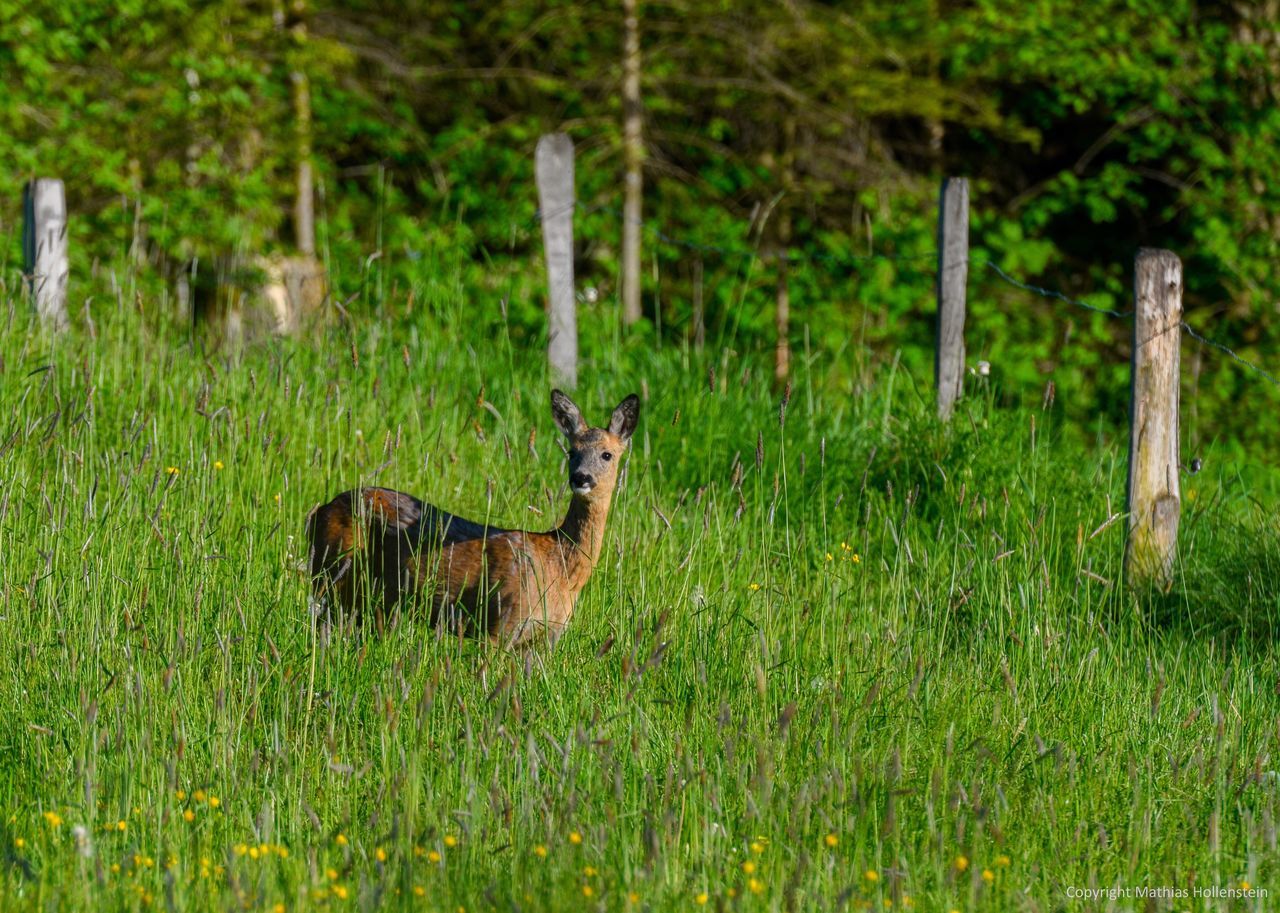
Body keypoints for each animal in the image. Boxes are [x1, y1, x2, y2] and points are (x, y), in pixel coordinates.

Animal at [300, 389, 640, 645]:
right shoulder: (501, 620)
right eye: (572, 451)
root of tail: (320, 511)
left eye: (607, 455)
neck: (561, 566)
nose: (581, 477)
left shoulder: (544, 639)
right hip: (335, 573)